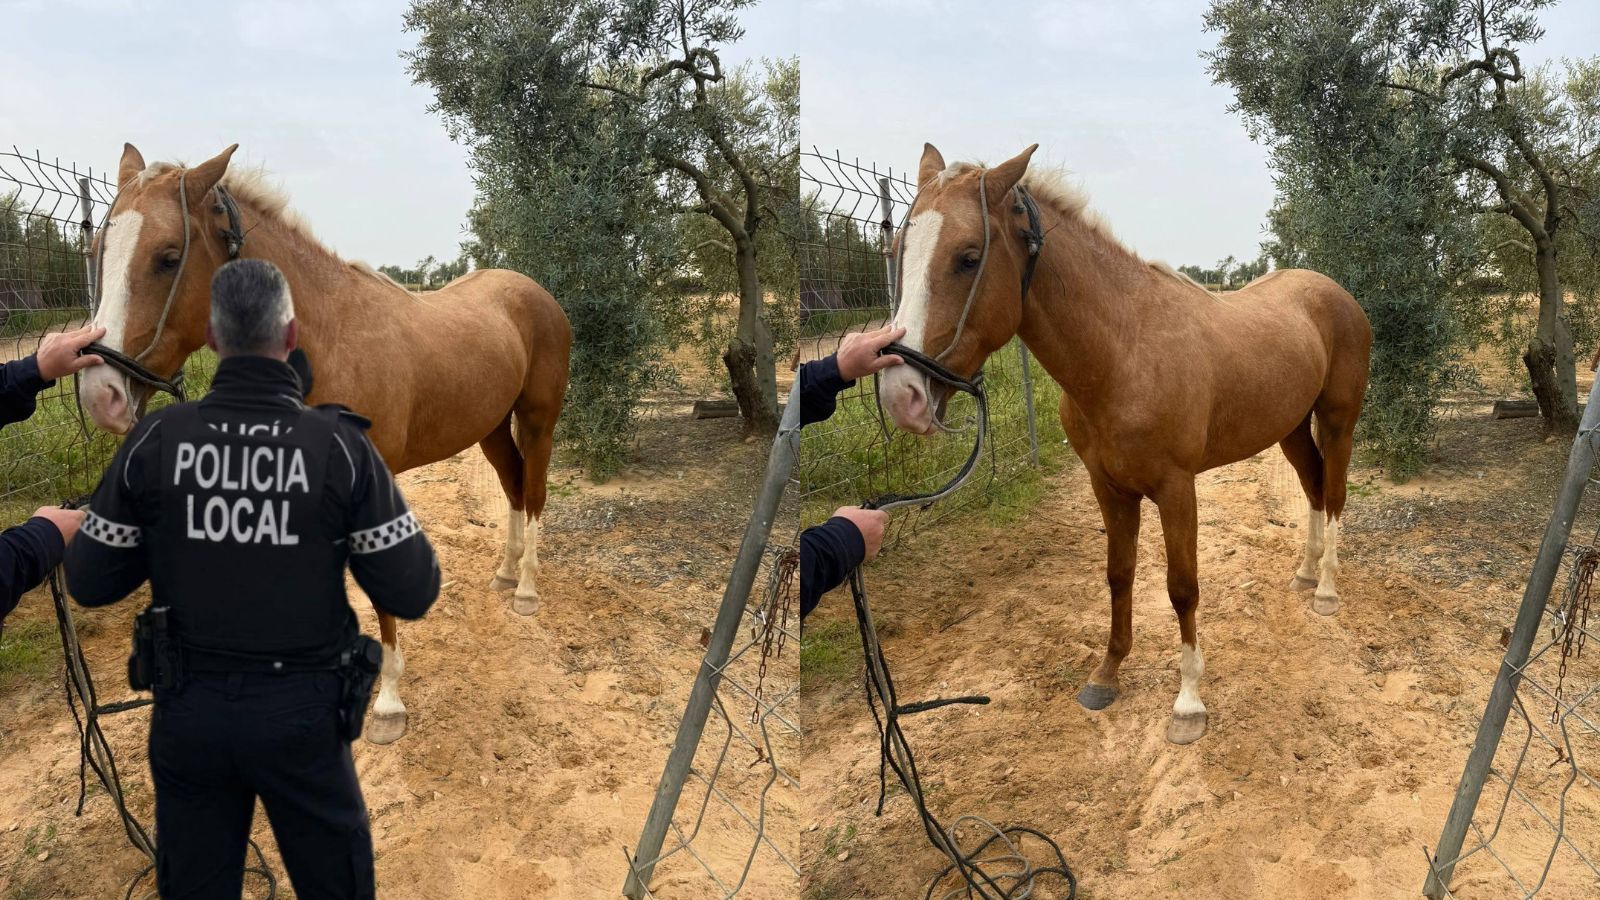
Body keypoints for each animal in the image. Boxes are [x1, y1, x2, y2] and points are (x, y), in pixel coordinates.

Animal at [78, 143, 572, 745]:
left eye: (168, 257)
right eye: (98, 253)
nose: (100, 393)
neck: (328, 339)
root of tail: (533, 292)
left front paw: (387, 705)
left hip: (538, 420)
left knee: (537, 491)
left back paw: (526, 590)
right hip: (492, 427)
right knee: (514, 486)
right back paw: (505, 573)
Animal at [876, 143, 1371, 745]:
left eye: (969, 257)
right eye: (898, 252)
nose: (900, 394)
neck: (1124, 351)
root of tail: (1334, 292)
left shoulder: (1177, 489)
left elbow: (1183, 587)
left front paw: (1188, 703)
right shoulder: (1109, 487)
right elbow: (1119, 574)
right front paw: (1107, 674)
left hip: (1338, 421)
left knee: (1336, 493)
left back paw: (1326, 591)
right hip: (1291, 428)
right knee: (1314, 487)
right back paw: (1305, 574)